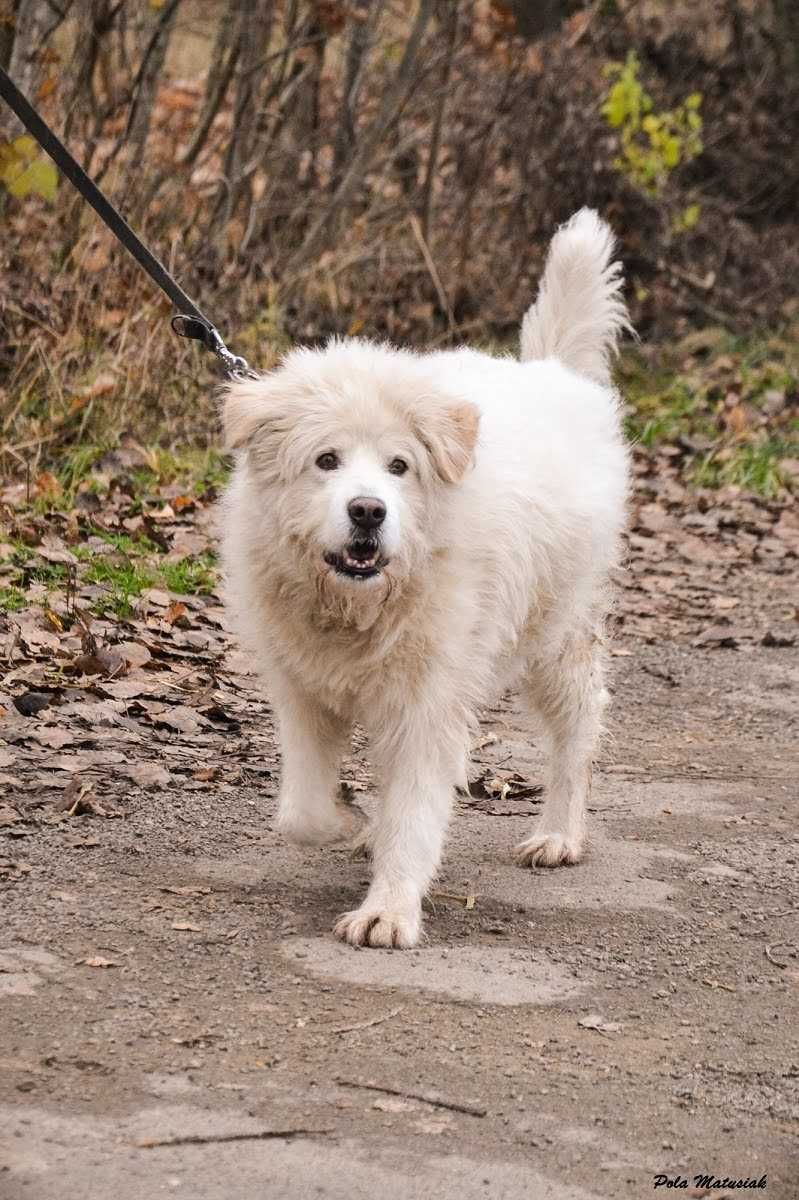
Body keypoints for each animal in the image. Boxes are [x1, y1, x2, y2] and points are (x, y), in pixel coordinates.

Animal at [219, 211, 628, 950]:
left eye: (399, 466)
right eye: (326, 460)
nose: (368, 512)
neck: (357, 606)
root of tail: (553, 372)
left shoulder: (427, 703)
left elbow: (414, 813)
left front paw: (388, 910)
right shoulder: (301, 692)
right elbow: (301, 812)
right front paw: (350, 823)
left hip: (554, 637)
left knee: (578, 729)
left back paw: (559, 832)